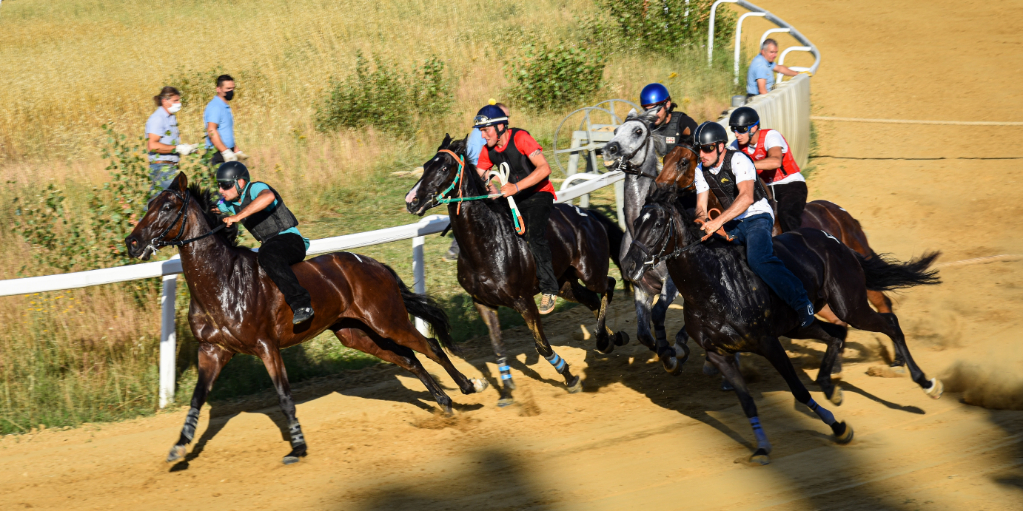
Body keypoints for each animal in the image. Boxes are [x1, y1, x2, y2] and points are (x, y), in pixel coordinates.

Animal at [124, 173, 486, 466]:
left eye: (167, 206)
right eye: (149, 204)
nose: (132, 242)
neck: (221, 282)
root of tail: (375, 264)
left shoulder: (266, 346)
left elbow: (285, 399)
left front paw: (297, 447)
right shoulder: (213, 351)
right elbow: (197, 399)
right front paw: (179, 446)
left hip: (387, 320)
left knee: (430, 346)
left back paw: (469, 385)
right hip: (357, 334)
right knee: (409, 359)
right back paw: (444, 402)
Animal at [403, 133, 626, 404]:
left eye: (444, 168)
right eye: (426, 166)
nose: (411, 200)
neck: (486, 244)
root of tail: (588, 214)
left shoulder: (524, 301)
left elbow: (542, 346)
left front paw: (570, 377)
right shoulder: (484, 303)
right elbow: (498, 347)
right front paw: (507, 389)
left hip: (590, 270)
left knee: (608, 286)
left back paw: (603, 339)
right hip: (565, 284)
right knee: (592, 300)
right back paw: (611, 338)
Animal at [617, 187, 937, 463]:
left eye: (658, 224)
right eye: (636, 222)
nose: (629, 266)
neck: (713, 285)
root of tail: (832, 239)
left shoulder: (768, 343)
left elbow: (798, 390)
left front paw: (838, 427)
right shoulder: (719, 354)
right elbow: (747, 402)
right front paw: (761, 447)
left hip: (849, 304)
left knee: (889, 322)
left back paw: (925, 382)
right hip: (800, 322)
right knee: (836, 334)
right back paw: (829, 384)